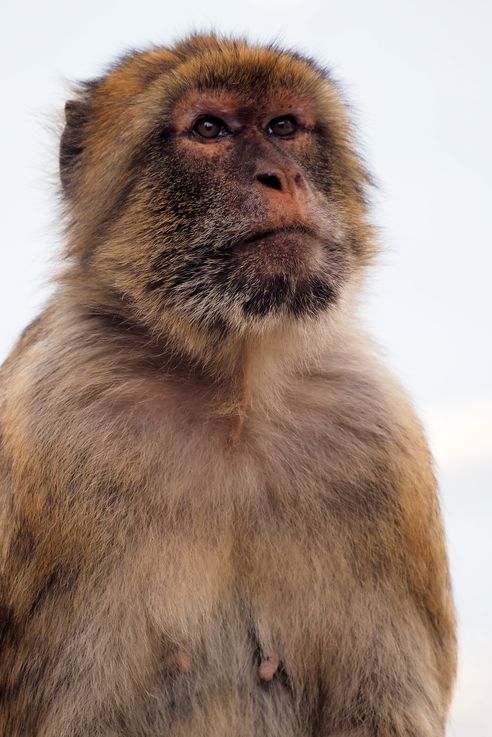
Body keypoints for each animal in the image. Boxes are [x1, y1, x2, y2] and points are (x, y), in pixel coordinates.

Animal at [0, 33, 456, 737]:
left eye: (284, 127)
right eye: (210, 129)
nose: (283, 175)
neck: (233, 394)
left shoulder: (378, 445)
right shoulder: (55, 423)